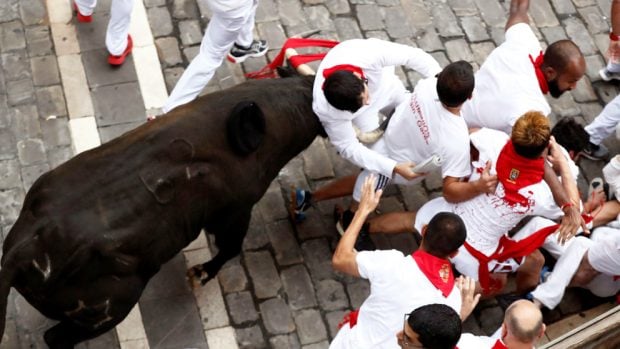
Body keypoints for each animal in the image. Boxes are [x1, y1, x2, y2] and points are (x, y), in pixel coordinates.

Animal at [0, 75, 320, 346]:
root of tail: (27, 248)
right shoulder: (236, 211)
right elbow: (230, 248)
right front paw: (200, 273)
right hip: (112, 308)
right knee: (57, 338)